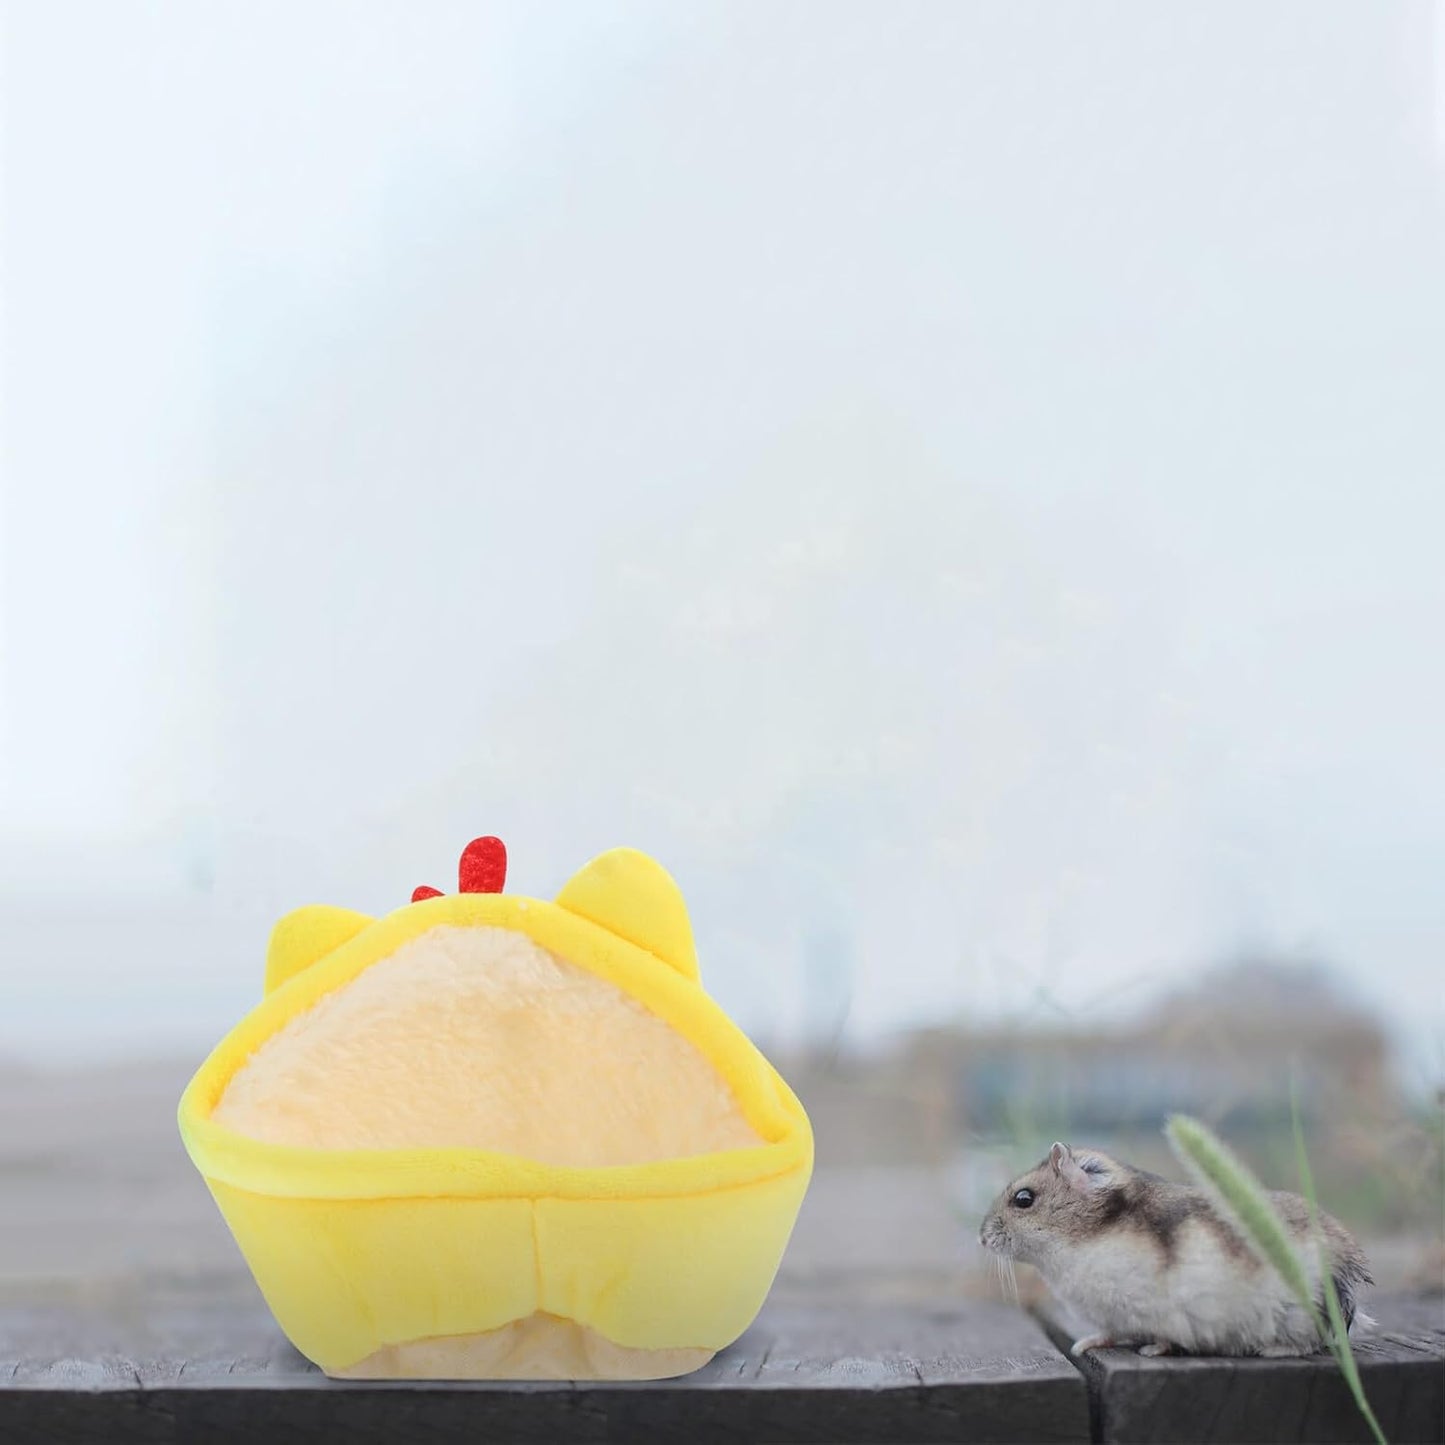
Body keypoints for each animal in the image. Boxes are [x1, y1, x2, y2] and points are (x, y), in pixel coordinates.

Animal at [978, 1141, 1373, 1358]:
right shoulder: (1112, 1317)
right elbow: (1107, 1333)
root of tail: (1348, 1270)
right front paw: (1082, 1345)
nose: (981, 1238)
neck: (1081, 1240)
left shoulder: (1168, 1315)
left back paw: (1270, 1350)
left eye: (1023, 1199)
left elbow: (1164, 1337)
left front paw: (1151, 1350)